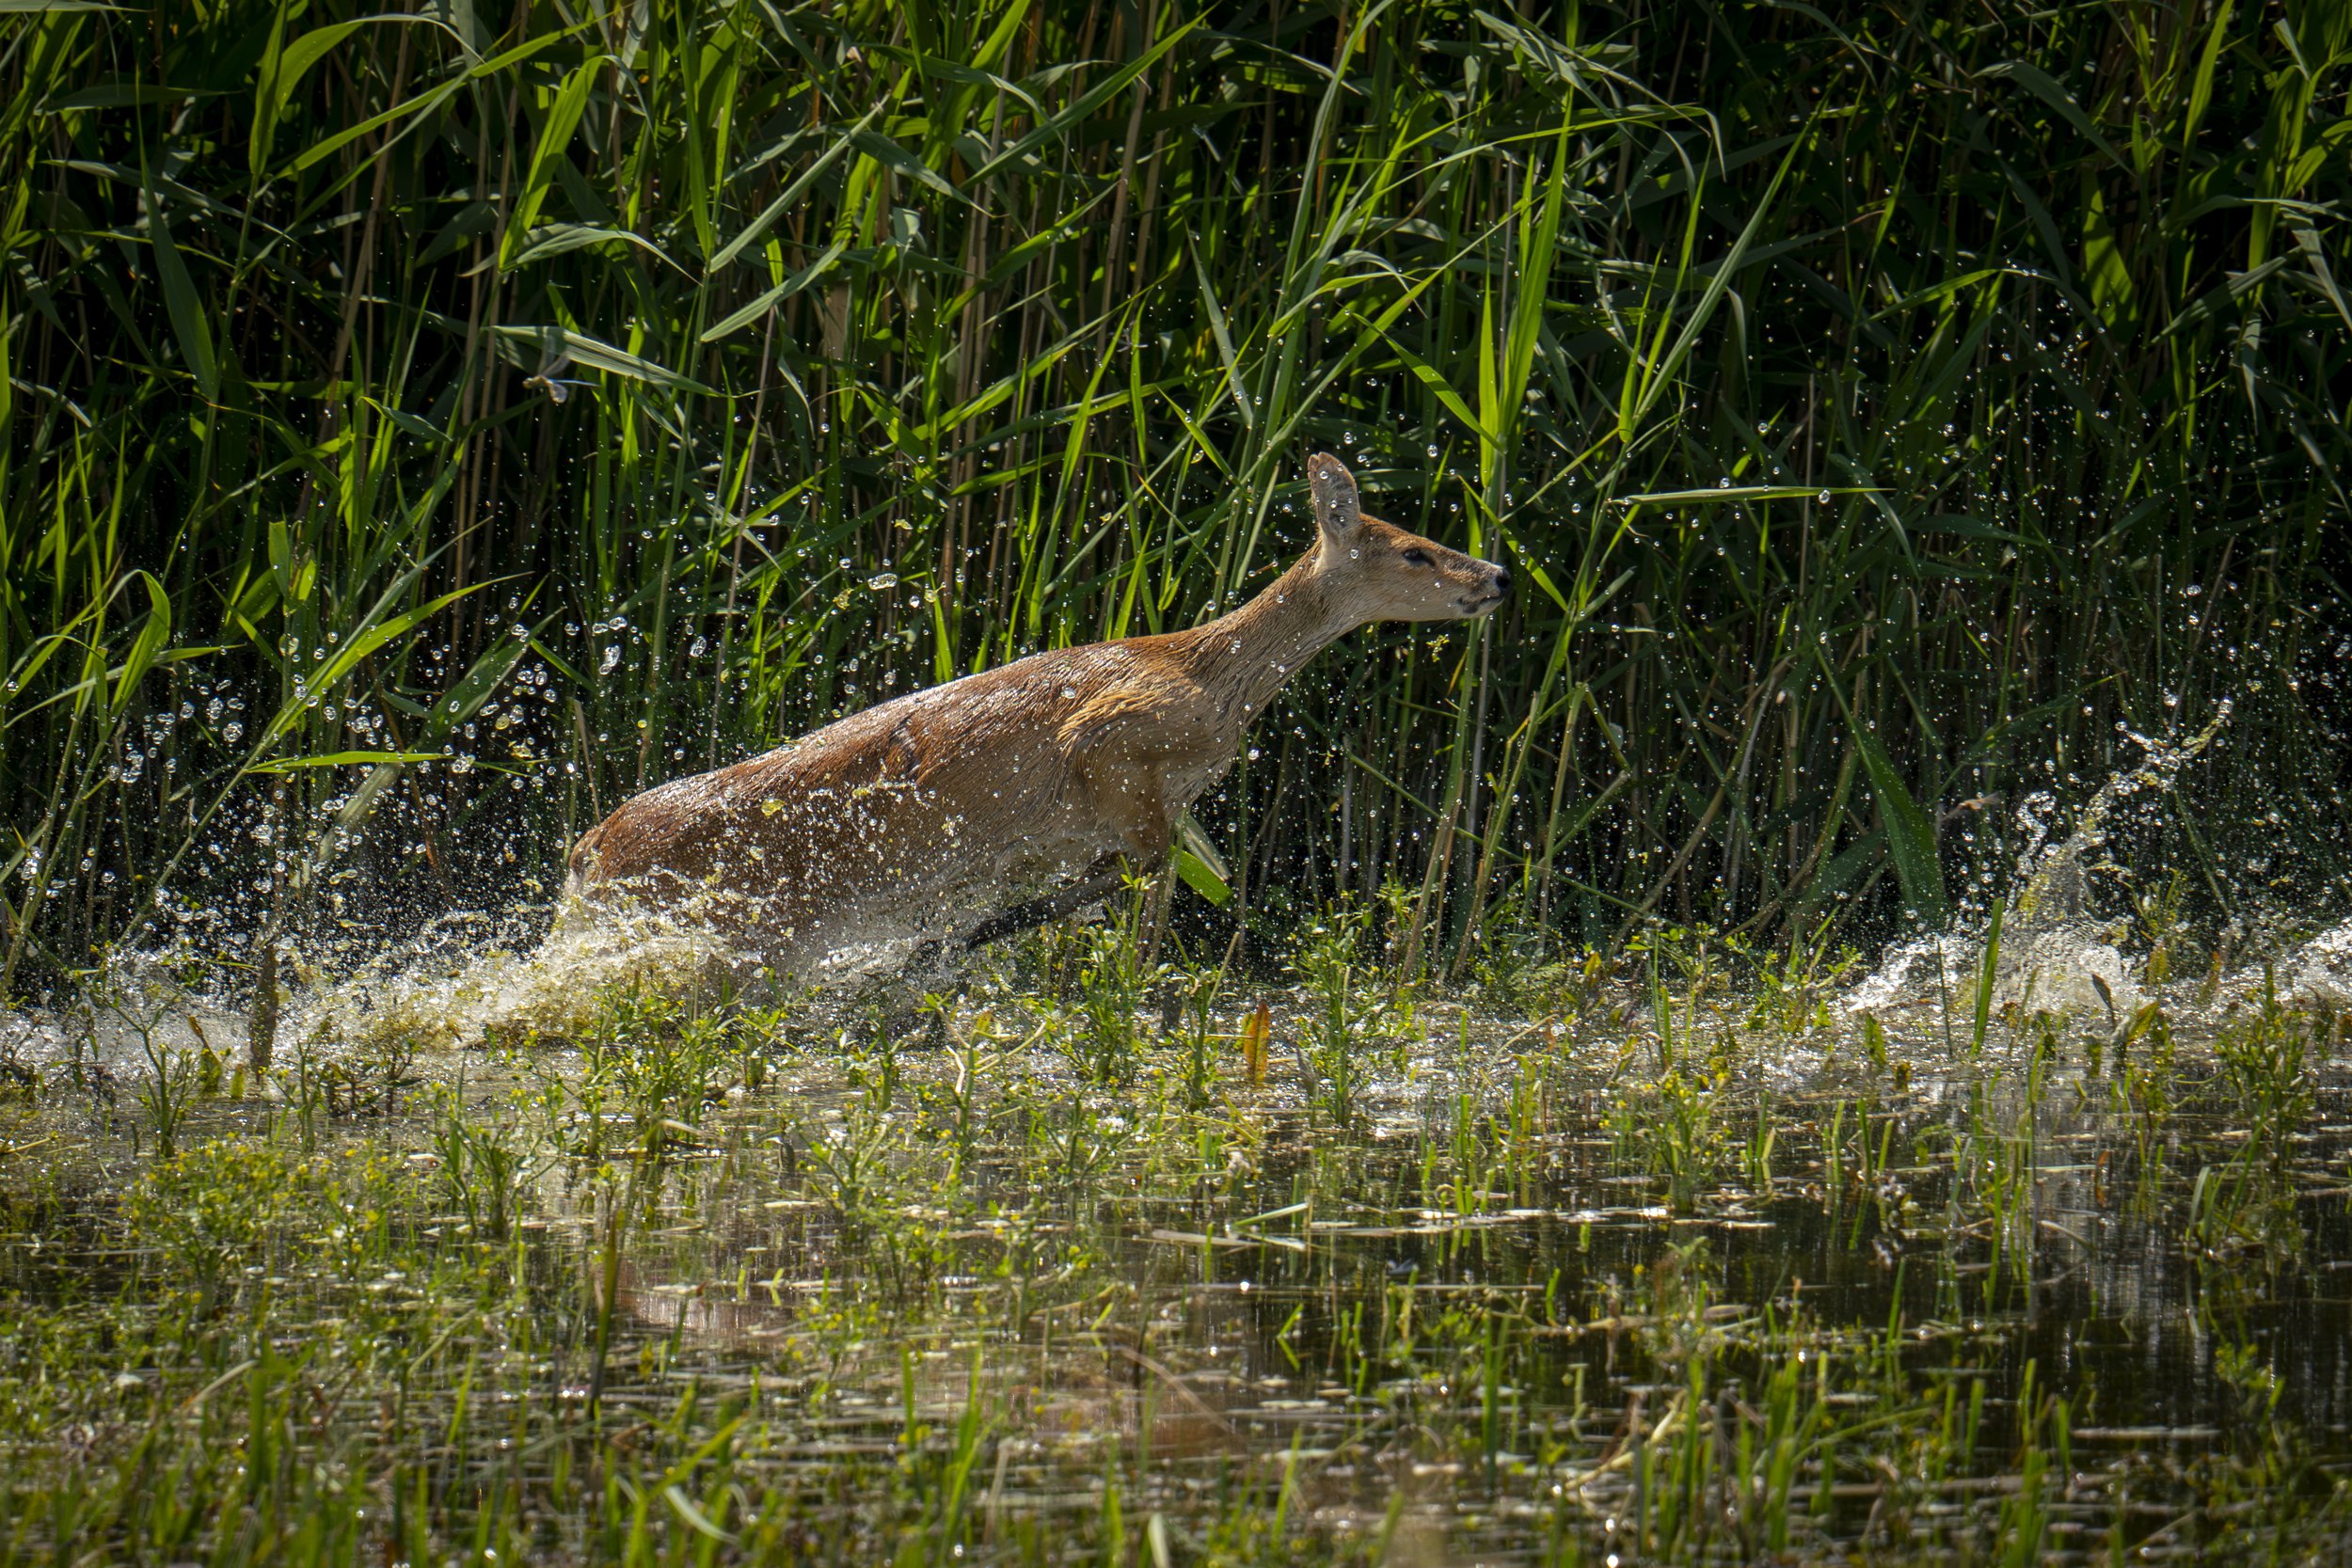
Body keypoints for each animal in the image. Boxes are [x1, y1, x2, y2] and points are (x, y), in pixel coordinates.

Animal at [561, 453, 1511, 977]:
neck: (1209, 677)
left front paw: (950, 946)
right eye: (1415, 550)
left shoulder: (1102, 823)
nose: (1498, 575)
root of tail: (588, 846)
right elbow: (1142, 891)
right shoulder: (1112, 750)